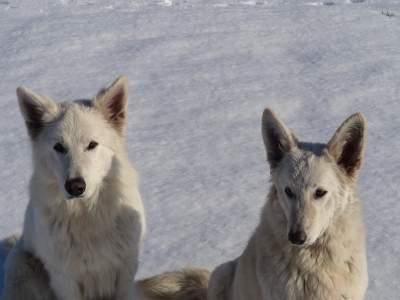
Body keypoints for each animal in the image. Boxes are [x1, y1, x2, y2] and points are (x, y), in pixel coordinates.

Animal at [1, 77, 145, 300]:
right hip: (25, 267)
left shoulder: (126, 269)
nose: (75, 187)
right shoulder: (64, 279)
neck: (87, 215)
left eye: (92, 144)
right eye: (59, 147)